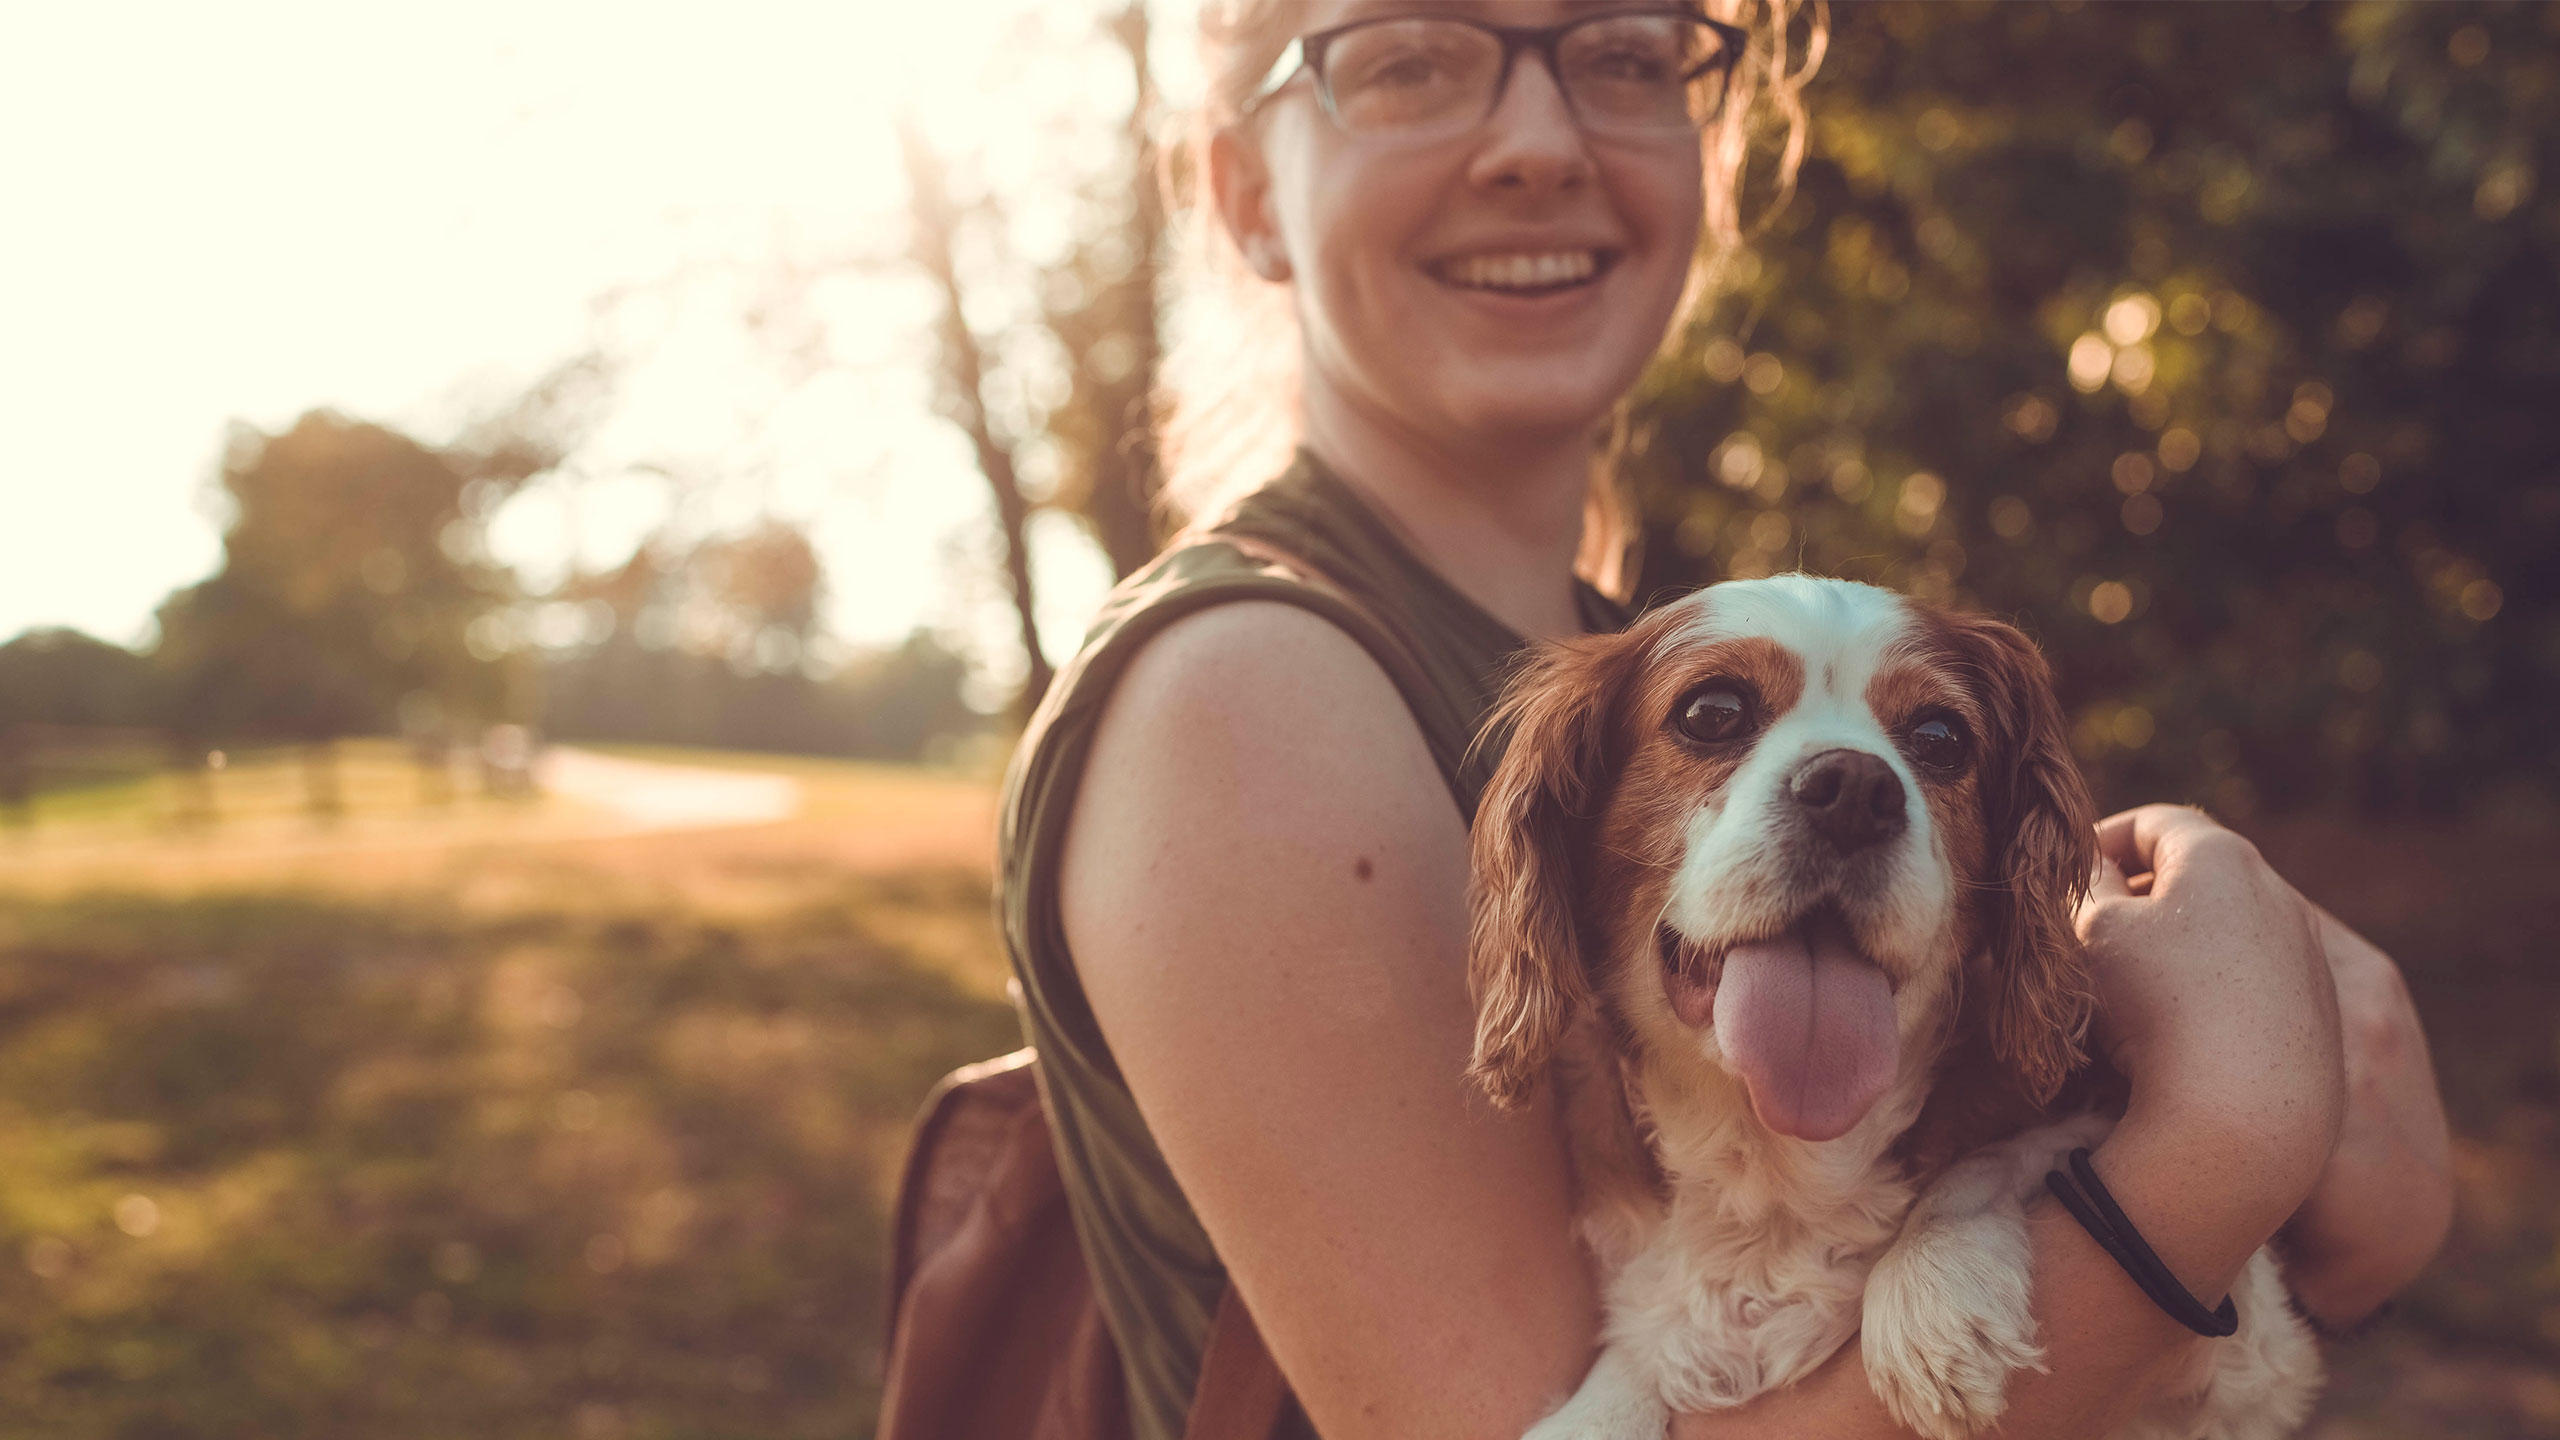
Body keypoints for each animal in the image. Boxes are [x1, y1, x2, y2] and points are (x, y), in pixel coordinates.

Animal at [1464, 573, 2324, 1434]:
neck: (1782, 1164)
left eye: (1942, 736)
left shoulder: (2251, 1360)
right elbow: (1640, 1351)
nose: (1854, 790)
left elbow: (2010, 1153)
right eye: (1712, 712)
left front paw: (1935, 1289)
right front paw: (1600, 1404)